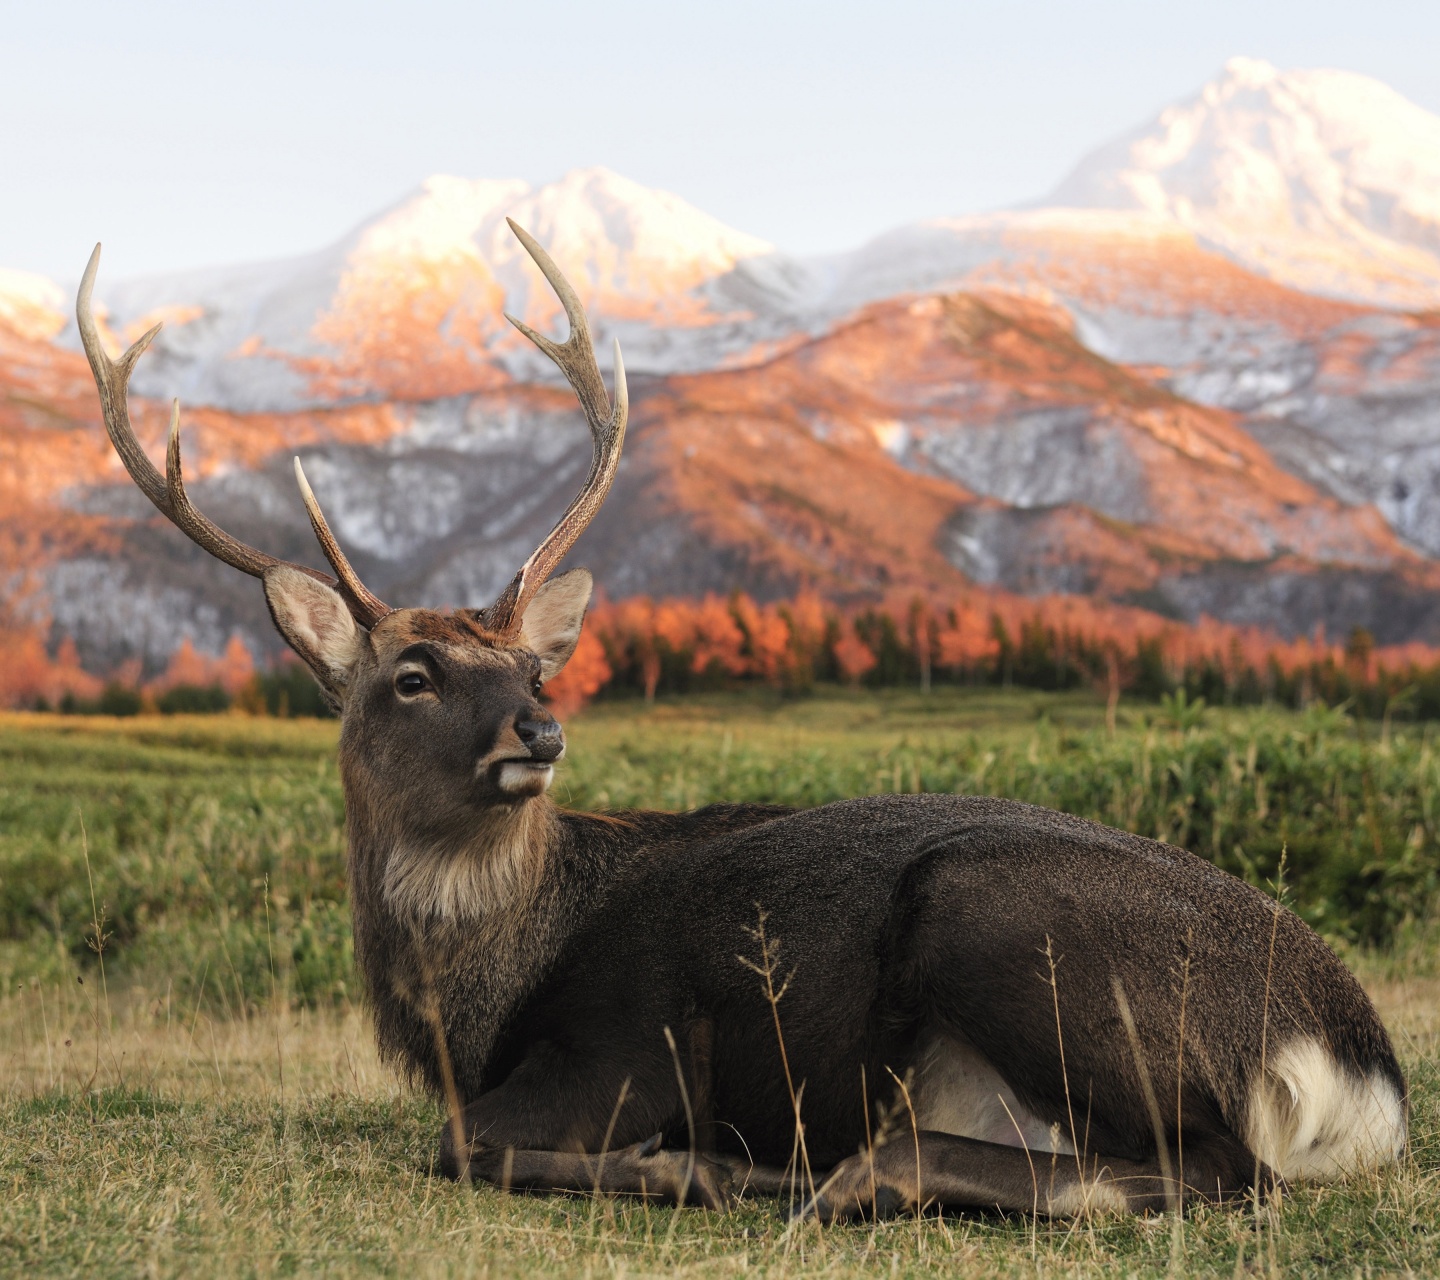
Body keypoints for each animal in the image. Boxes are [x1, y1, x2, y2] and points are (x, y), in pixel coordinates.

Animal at [78, 227, 1405, 1220]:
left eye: (531, 665)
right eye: (410, 674)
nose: (536, 732)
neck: (476, 1002)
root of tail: (1360, 1065)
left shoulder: (623, 1047)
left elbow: (459, 1143)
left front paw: (690, 1163)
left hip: (1002, 917)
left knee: (1220, 1167)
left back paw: (822, 1170)